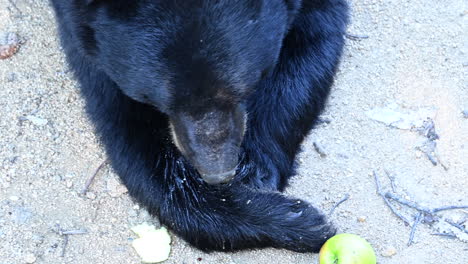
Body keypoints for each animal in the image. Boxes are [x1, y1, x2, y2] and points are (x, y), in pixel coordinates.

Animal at [50, 0, 348, 253]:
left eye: (241, 90)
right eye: (163, 103)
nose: (218, 174)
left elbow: (313, 37)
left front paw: (256, 168)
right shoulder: (84, 32)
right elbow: (127, 131)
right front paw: (293, 219)